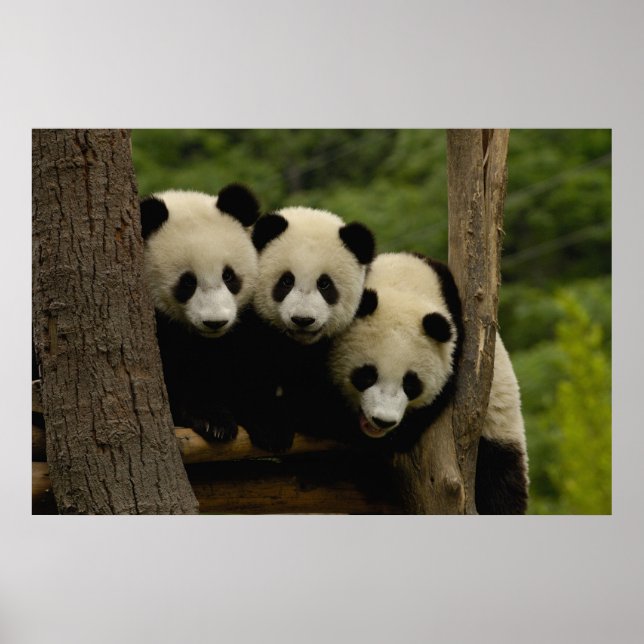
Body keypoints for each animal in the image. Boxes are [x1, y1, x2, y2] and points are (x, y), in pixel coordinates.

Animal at [239, 206, 376, 451]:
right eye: (286, 281)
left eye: (324, 284)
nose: (302, 320)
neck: (296, 344)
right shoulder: (252, 324)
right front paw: (271, 427)